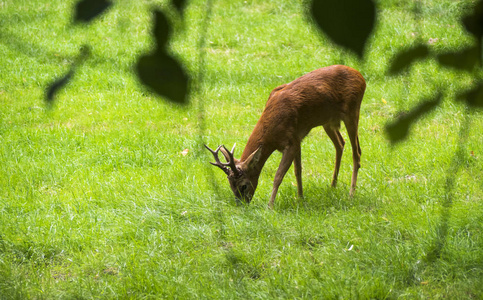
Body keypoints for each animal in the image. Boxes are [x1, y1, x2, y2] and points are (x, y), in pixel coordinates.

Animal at [205, 64, 366, 209]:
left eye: (243, 185)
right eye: (230, 184)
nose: (241, 205)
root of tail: (361, 77)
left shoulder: (291, 142)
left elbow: (278, 175)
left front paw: (270, 206)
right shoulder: (297, 139)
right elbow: (298, 171)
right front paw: (300, 198)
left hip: (352, 112)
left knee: (357, 152)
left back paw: (351, 194)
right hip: (328, 121)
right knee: (340, 143)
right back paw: (333, 186)